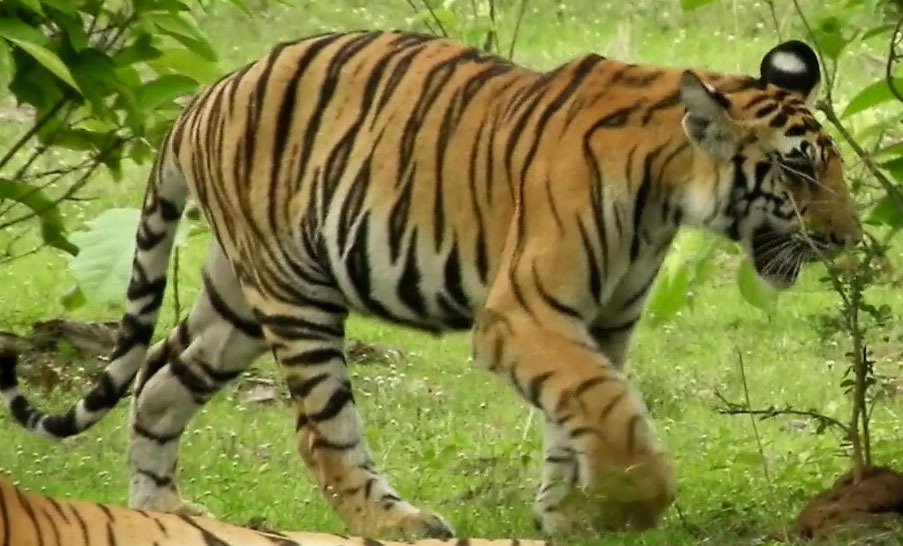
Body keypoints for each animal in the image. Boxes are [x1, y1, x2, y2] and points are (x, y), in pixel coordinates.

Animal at [0, 30, 860, 540]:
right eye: (795, 170)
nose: (848, 239)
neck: (667, 190)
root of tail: (200, 100)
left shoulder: (600, 323)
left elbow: (581, 416)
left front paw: (569, 511)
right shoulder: (525, 313)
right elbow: (606, 414)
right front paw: (631, 504)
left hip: (236, 302)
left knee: (158, 381)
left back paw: (162, 513)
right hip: (296, 296)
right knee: (319, 432)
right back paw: (397, 521)